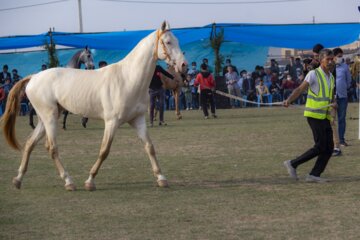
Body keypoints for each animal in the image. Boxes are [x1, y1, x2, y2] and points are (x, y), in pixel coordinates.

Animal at [2, 22, 187, 191]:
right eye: (168, 42)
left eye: (177, 40)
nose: (183, 65)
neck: (127, 79)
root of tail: (33, 77)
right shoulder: (111, 122)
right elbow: (104, 150)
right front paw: (90, 181)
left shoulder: (138, 120)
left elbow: (150, 147)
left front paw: (161, 178)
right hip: (49, 118)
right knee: (52, 148)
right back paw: (68, 182)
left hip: (46, 118)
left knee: (30, 144)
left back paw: (18, 180)